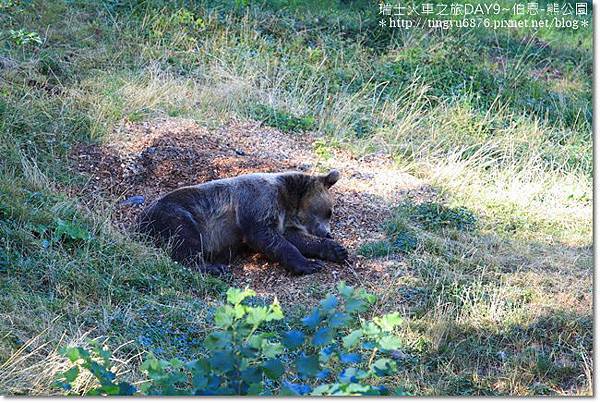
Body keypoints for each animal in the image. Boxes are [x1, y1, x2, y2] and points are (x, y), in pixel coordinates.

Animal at [137, 169, 350, 276]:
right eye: (329, 212)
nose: (327, 232)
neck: (287, 201)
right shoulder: (257, 204)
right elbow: (267, 238)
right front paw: (309, 265)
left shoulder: (282, 221)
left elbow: (296, 238)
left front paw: (337, 250)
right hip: (175, 213)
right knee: (185, 239)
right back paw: (215, 267)